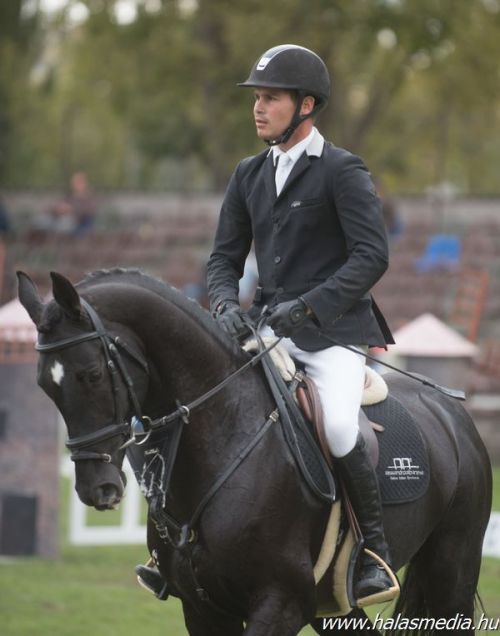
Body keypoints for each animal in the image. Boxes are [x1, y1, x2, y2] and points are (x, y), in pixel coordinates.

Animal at [18, 268, 492, 635]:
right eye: (44, 384)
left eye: (92, 374)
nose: (97, 489)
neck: (223, 435)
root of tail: (451, 408)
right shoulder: (204, 609)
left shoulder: (279, 603)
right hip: (336, 606)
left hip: (452, 569)